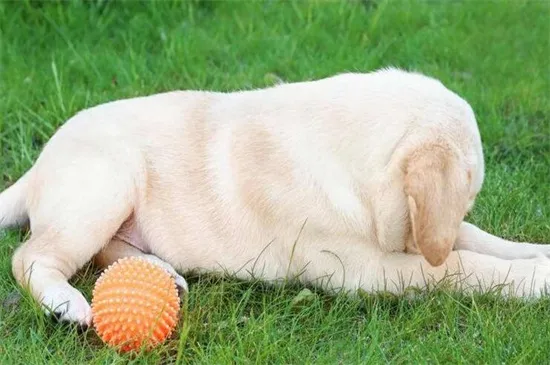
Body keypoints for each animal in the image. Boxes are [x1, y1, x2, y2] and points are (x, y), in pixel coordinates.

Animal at [1, 67, 550, 326]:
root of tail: (37, 165)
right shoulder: (364, 269)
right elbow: (460, 265)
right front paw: (535, 279)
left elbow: (480, 241)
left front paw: (537, 253)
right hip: (104, 185)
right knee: (30, 256)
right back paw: (65, 302)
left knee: (105, 251)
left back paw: (161, 272)